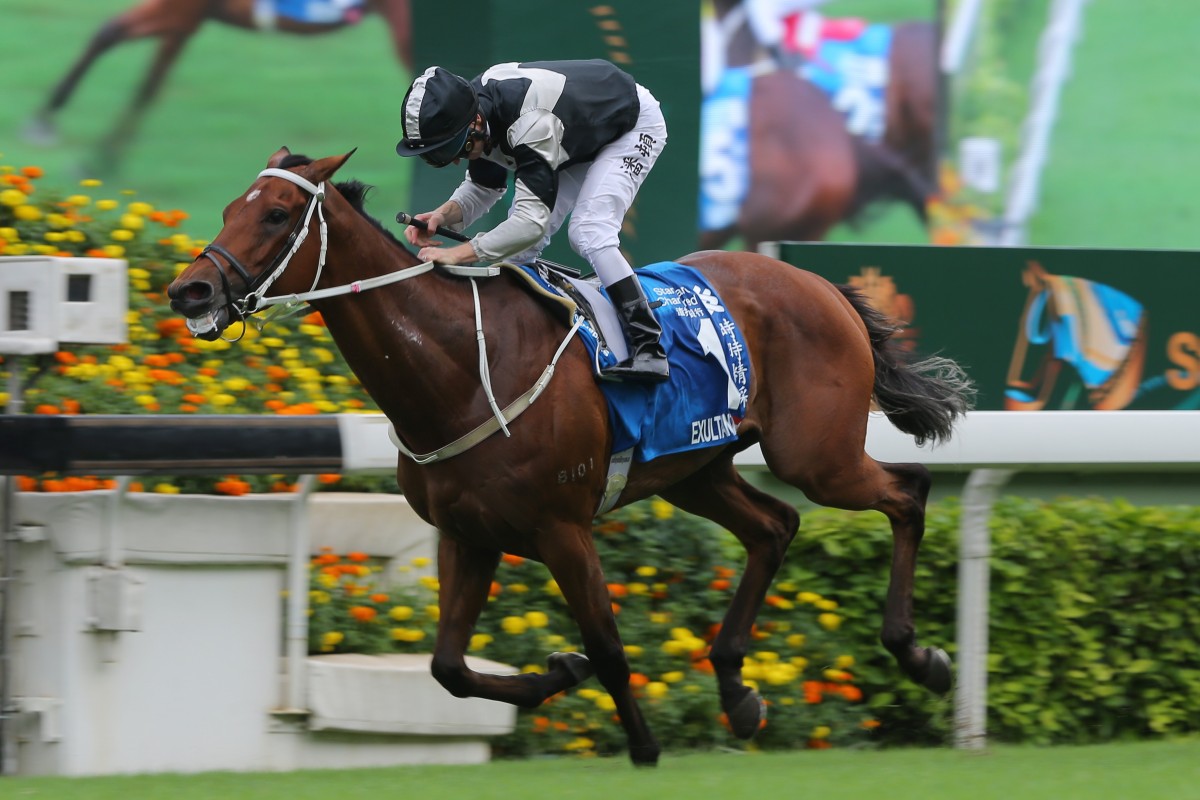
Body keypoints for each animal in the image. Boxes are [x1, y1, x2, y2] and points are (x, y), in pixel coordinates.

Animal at [23, 0, 412, 170]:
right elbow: (148, 83)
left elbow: (108, 34)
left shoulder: (181, 11)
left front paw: (43, 123)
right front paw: (103, 160)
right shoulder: (185, 21)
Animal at [166, 146, 974, 767]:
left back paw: (917, 654)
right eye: (232, 207)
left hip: (817, 456)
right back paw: (738, 693)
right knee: (776, 526)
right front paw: (557, 671)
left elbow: (609, 646)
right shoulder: (467, 533)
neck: (460, 370)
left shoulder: (562, 528)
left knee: (907, 491)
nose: (190, 289)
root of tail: (820, 283)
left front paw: (642, 745)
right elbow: (448, 667)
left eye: (275, 215)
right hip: (696, 469)